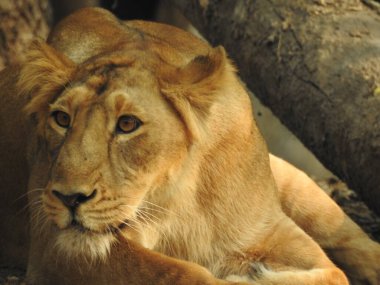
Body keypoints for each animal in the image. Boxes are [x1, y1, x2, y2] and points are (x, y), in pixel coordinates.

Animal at [0, 6, 380, 284]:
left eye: (127, 124)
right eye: (61, 119)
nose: (69, 198)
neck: (179, 197)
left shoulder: (272, 232)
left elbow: (334, 273)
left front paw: (255, 275)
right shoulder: (56, 248)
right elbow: (180, 272)